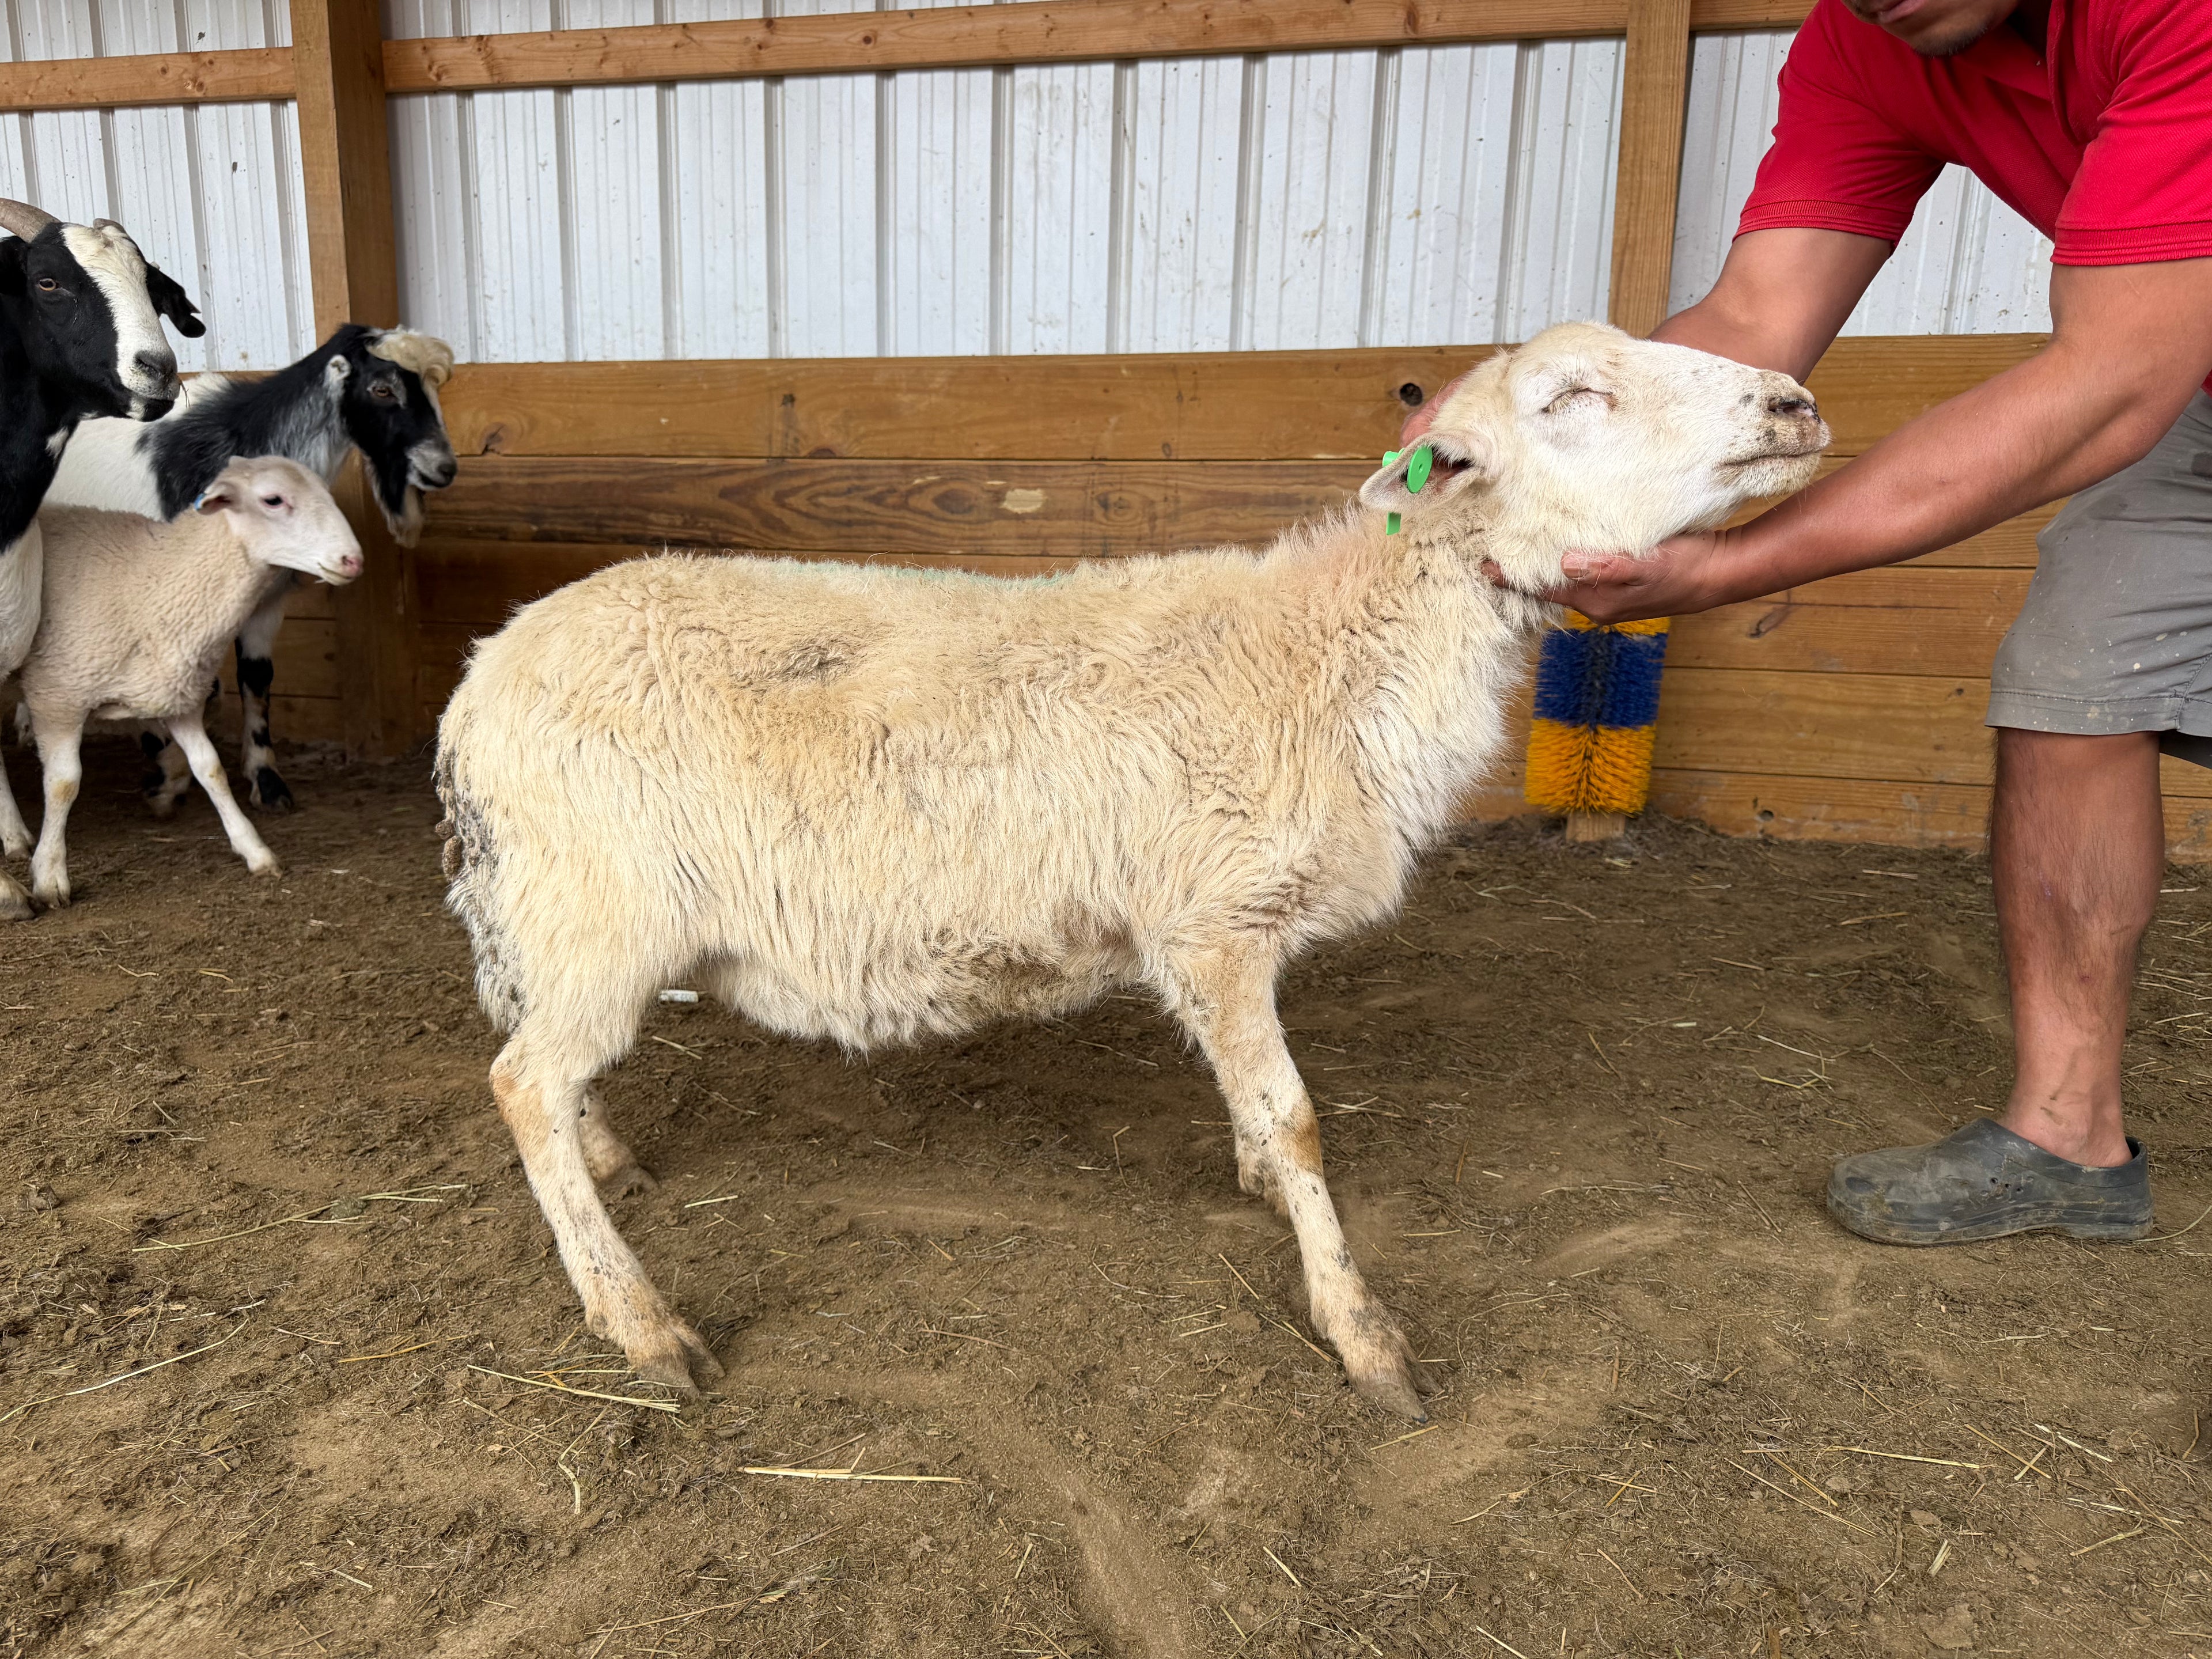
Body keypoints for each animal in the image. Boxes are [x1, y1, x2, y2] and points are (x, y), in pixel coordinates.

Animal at [15, 458, 362, 912]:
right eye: (273, 499)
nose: (353, 560)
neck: (155, 580)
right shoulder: (57, 696)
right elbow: (64, 784)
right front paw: (50, 874)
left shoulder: (177, 700)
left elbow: (211, 769)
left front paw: (254, 849)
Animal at [48, 325, 457, 813]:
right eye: (382, 389)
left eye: (435, 389)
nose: (444, 468)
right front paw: (169, 776)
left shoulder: (266, 600)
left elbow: (257, 678)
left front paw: (267, 779)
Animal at [433, 322, 1828, 1416]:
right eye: (1570, 397)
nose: (1796, 404)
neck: (1340, 654)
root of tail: (480, 680)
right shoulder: (1216, 921)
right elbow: (1300, 1117)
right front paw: (1362, 1331)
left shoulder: (1226, 937)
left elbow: (1262, 1108)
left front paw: (1262, 1186)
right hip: (600, 907)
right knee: (520, 1086)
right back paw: (641, 1324)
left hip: (555, 920)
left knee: (543, 1066)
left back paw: (611, 1164)